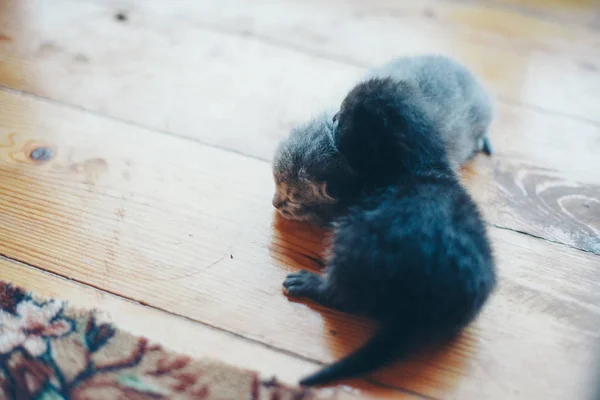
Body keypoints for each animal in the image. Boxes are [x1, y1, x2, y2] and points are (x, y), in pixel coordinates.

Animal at [282, 76, 496, 386]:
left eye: (343, 116)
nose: (333, 117)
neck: (420, 164)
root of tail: (418, 309)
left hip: (353, 240)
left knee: (344, 297)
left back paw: (310, 284)